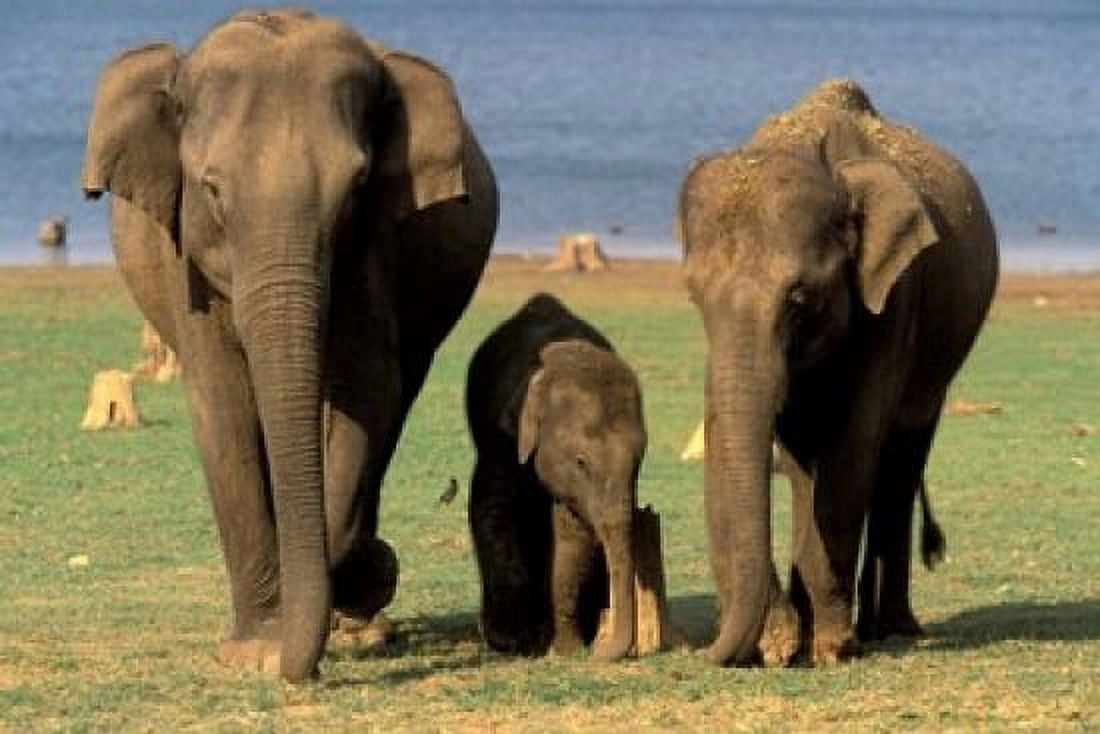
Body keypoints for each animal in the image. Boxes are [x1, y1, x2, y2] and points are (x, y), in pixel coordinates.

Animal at [81, 9, 497, 681]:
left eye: (356, 186)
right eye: (211, 190)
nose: (292, 663)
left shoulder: (373, 248)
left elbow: (367, 389)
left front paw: (361, 580)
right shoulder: (183, 265)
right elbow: (222, 405)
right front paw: (254, 651)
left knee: (397, 398)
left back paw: (361, 626)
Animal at [466, 293, 646, 661]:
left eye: (638, 463)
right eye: (580, 462)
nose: (599, 652)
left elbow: (573, 537)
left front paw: (565, 648)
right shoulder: (502, 434)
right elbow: (491, 508)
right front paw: (514, 641)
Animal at [678, 79, 998, 666]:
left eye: (800, 295)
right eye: (693, 294)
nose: (708, 651)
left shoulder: (894, 297)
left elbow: (853, 446)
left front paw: (830, 649)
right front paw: (786, 644)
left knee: (899, 458)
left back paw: (886, 629)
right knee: (808, 465)